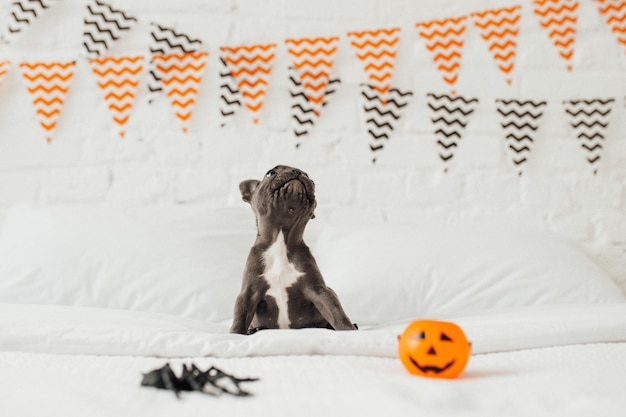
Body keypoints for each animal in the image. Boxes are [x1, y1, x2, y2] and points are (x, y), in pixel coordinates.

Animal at [229, 164, 356, 334]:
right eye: (271, 173)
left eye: (311, 179)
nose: (297, 171)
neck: (281, 240)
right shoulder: (248, 293)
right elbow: (240, 318)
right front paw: (235, 335)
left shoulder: (319, 290)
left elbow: (336, 313)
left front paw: (349, 331)